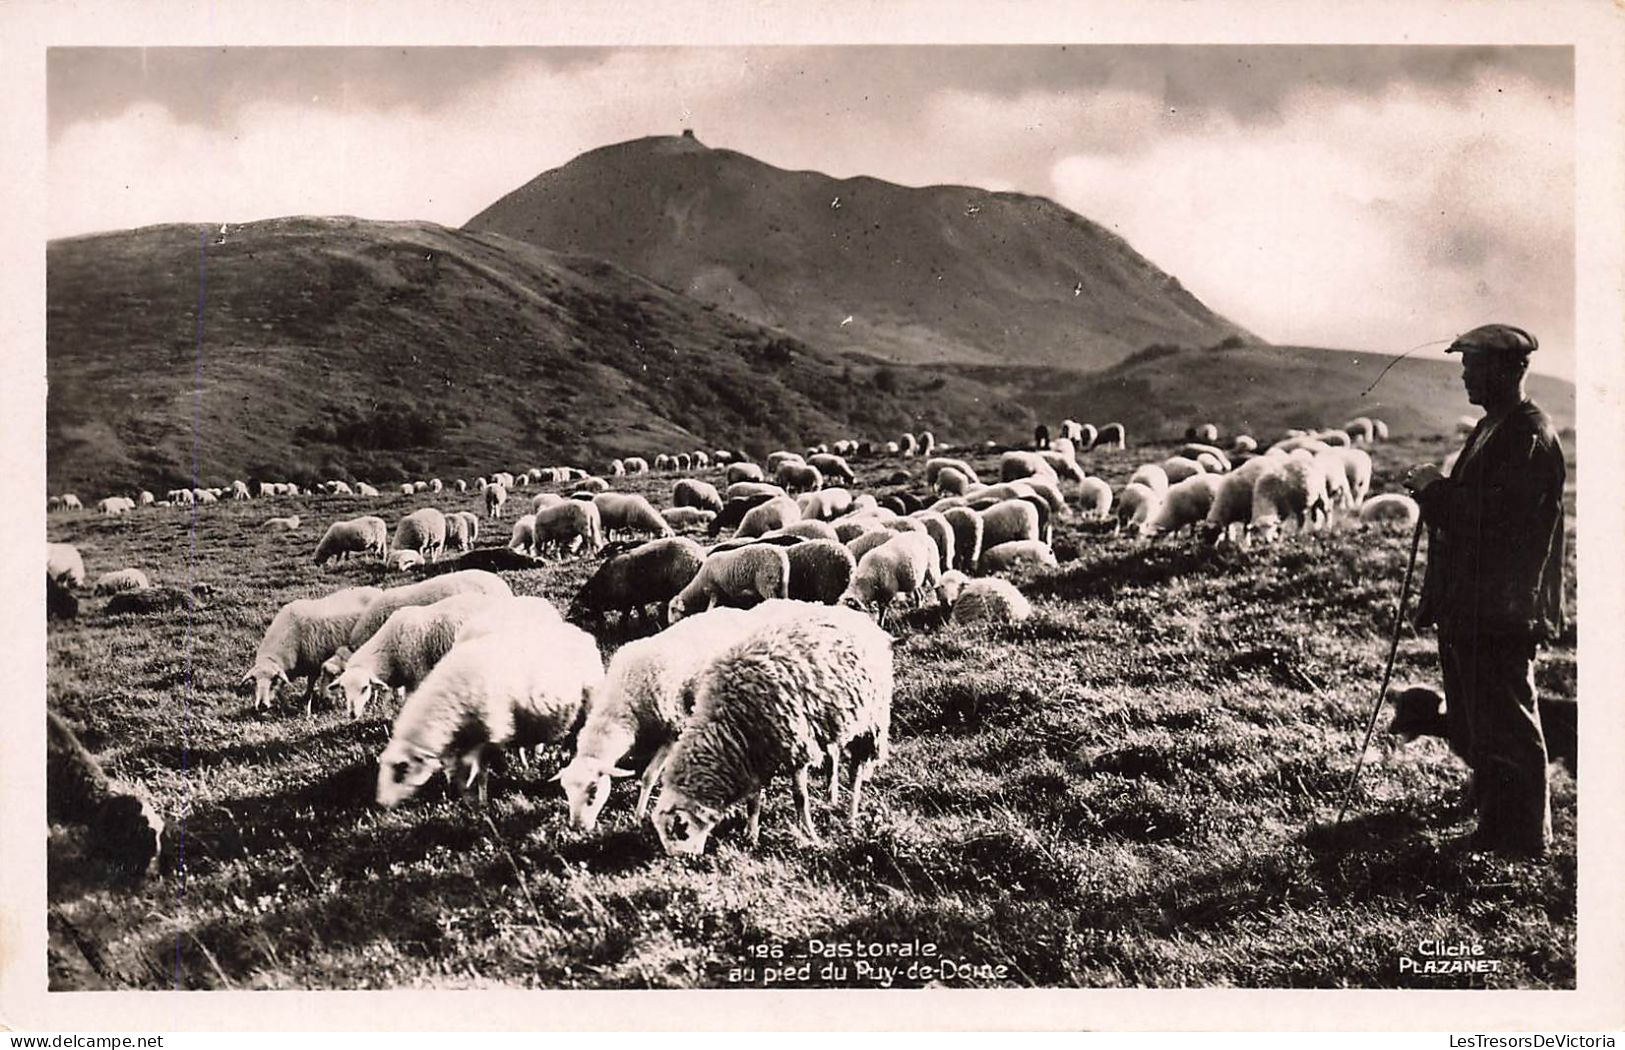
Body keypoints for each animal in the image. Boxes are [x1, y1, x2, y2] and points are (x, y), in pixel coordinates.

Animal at [243, 591, 383, 715]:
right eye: (255, 681)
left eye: (273, 680)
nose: (261, 705)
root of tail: (377, 590)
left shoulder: (313, 661)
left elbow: (311, 681)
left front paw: (307, 698)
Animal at [373, 620, 604, 809]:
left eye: (402, 769)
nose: (382, 804)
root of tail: (583, 634)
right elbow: (460, 773)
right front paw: (467, 798)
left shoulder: (490, 736)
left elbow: (481, 773)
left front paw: (481, 801)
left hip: (588, 706)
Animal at [653, 601, 897, 858]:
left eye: (680, 830)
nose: (686, 860)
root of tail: (860, 618)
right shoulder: (754, 753)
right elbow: (753, 801)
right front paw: (751, 836)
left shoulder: (796, 745)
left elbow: (800, 797)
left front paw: (809, 835)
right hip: (832, 720)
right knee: (834, 756)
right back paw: (832, 797)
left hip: (869, 723)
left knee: (855, 773)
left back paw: (851, 817)